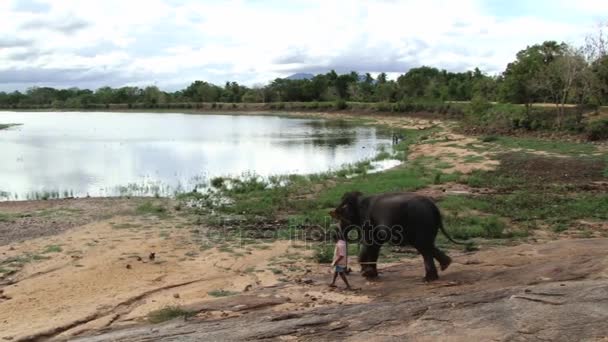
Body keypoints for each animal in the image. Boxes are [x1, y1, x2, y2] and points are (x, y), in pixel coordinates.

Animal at [330, 191, 464, 282]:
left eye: (341, 218)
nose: (348, 270)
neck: (359, 199)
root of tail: (434, 207)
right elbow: (375, 244)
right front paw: (371, 274)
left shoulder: (367, 220)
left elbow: (370, 243)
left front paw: (366, 274)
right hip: (428, 224)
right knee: (427, 245)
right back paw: (445, 265)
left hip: (421, 221)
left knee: (423, 247)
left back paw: (428, 279)